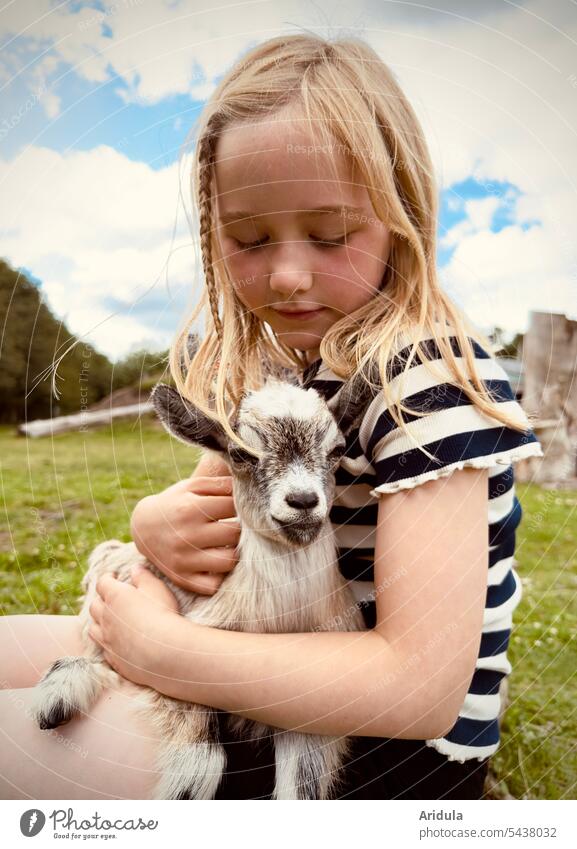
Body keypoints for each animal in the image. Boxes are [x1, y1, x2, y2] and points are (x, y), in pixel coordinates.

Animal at [32, 374, 374, 800]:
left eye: (338, 449)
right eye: (240, 453)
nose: (302, 501)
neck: (279, 619)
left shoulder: (310, 709)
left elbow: (302, 786)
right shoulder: (170, 660)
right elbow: (200, 767)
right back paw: (59, 691)